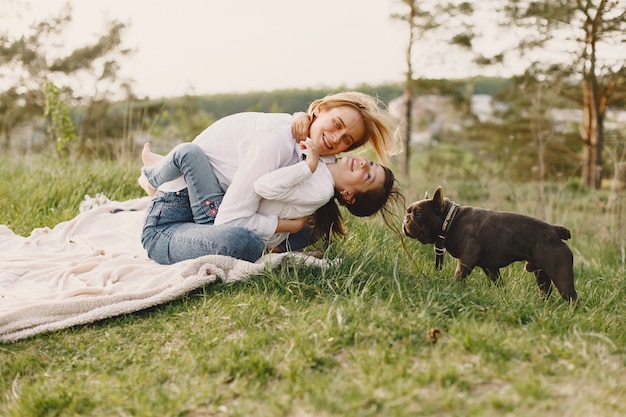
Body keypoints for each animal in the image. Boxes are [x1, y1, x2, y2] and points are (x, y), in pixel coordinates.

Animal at [402, 185, 576, 300]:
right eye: (408, 211)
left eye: (418, 213)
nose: (406, 218)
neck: (450, 220)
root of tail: (555, 230)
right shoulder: (489, 267)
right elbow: (497, 283)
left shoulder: (467, 259)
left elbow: (459, 275)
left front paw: (452, 287)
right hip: (541, 274)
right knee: (545, 291)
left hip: (560, 273)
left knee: (572, 297)